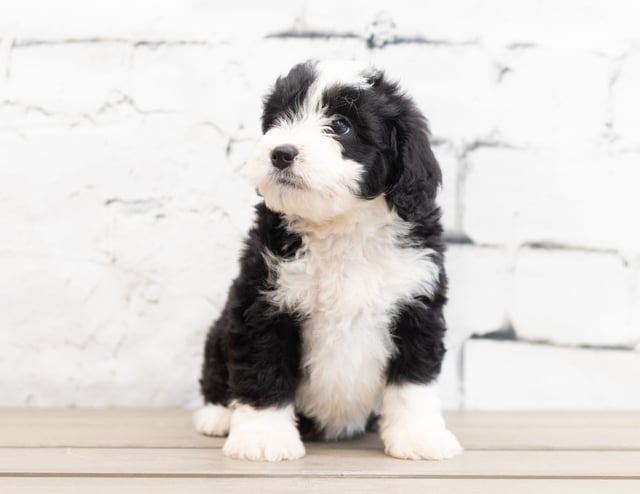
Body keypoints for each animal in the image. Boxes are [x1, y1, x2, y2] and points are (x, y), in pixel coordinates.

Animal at [194, 59, 460, 462]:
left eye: (340, 125)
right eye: (279, 118)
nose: (281, 153)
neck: (341, 227)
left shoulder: (417, 301)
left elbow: (414, 378)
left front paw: (419, 436)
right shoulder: (262, 301)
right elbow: (262, 369)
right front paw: (263, 437)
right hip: (219, 331)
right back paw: (218, 415)